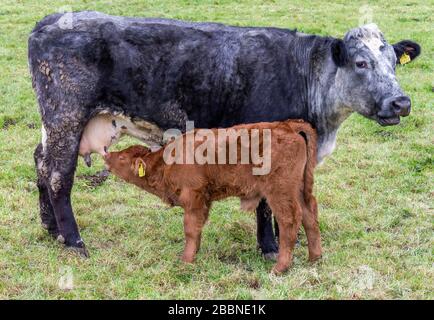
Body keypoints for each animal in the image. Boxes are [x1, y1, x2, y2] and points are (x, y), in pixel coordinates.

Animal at [104, 120, 320, 272]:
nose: (106, 155)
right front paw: (194, 253)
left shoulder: (193, 198)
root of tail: (288, 125)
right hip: (300, 189)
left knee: (289, 221)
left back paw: (280, 268)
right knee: (309, 215)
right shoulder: (204, 202)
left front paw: (185, 261)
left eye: (122, 158)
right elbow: (198, 229)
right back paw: (314, 258)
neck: (167, 162)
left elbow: (191, 228)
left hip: (280, 192)